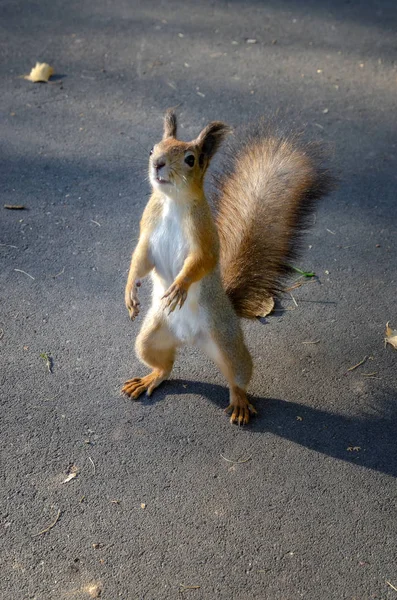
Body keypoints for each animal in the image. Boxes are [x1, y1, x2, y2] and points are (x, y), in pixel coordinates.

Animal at [122, 109, 332, 426]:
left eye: (191, 159)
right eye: (152, 149)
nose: (157, 163)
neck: (172, 201)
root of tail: (189, 339)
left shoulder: (205, 238)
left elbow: (202, 262)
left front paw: (180, 286)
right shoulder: (147, 231)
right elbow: (140, 260)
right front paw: (130, 291)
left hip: (228, 343)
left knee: (238, 377)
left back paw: (240, 403)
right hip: (150, 338)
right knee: (165, 365)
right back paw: (150, 378)